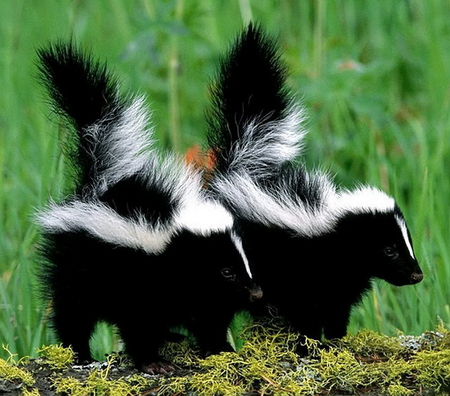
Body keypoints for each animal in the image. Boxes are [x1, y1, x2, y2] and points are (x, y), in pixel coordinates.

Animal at [37, 40, 262, 372]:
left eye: (245, 261)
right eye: (225, 271)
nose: (256, 292)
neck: (171, 242)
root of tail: (98, 186)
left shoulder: (200, 295)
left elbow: (208, 318)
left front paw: (219, 348)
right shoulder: (140, 280)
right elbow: (137, 323)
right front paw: (152, 362)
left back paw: (170, 335)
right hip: (76, 265)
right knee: (73, 311)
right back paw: (78, 352)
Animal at [206, 25, 424, 346]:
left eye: (407, 241)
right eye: (388, 250)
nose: (417, 275)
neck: (332, 232)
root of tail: (239, 166)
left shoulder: (344, 282)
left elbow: (337, 310)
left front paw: (335, 341)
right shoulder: (303, 269)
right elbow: (303, 310)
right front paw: (307, 342)